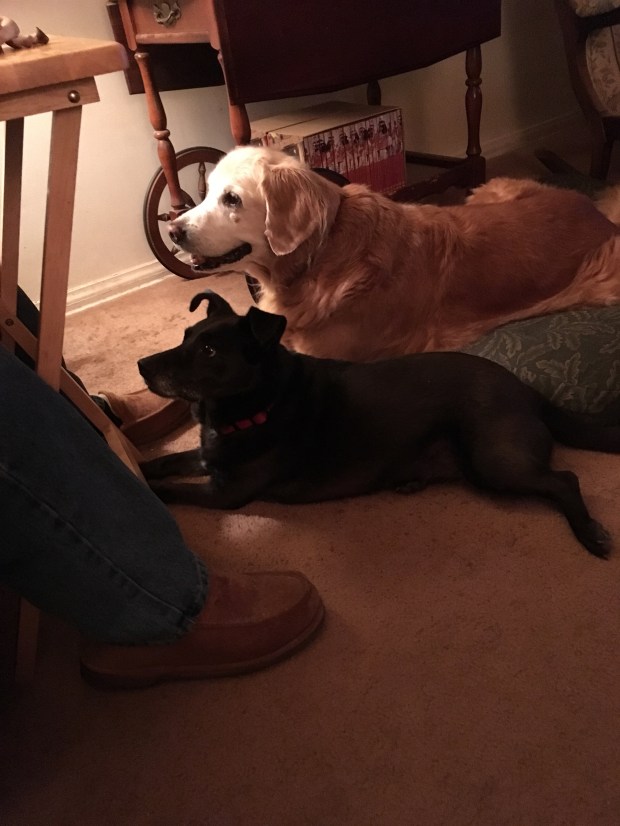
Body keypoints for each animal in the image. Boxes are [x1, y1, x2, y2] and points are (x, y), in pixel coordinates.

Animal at [138, 290, 620, 558]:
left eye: (209, 352)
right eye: (185, 336)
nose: (141, 366)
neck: (262, 404)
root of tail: (525, 389)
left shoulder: (227, 493)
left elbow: (170, 490)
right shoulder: (209, 458)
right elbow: (166, 463)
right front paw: (139, 464)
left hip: (494, 461)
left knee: (565, 479)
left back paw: (589, 534)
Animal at [166, 146, 620, 362]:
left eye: (231, 199)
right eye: (206, 193)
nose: (173, 230)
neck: (320, 257)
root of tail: (599, 212)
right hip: (490, 189)